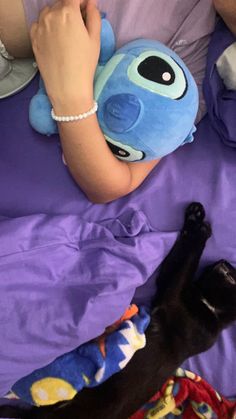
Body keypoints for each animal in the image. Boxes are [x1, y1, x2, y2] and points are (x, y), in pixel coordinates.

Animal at [1, 203, 236, 419]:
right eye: (229, 270)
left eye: (231, 275)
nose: (223, 262)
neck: (210, 308)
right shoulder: (170, 290)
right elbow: (179, 261)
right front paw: (197, 220)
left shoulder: (173, 298)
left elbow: (186, 262)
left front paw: (199, 227)